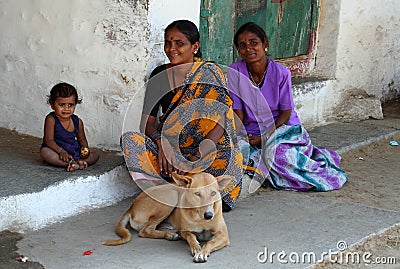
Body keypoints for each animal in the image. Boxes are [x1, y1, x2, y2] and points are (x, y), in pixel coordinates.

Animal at [104, 172, 233, 262]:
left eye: (213, 193)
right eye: (197, 194)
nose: (209, 215)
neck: (200, 219)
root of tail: (131, 206)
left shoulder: (223, 235)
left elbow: (209, 243)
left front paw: (202, 252)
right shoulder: (186, 231)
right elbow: (191, 236)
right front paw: (197, 248)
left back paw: (170, 233)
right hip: (171, 195)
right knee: (145, 231)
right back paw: (170, 234)